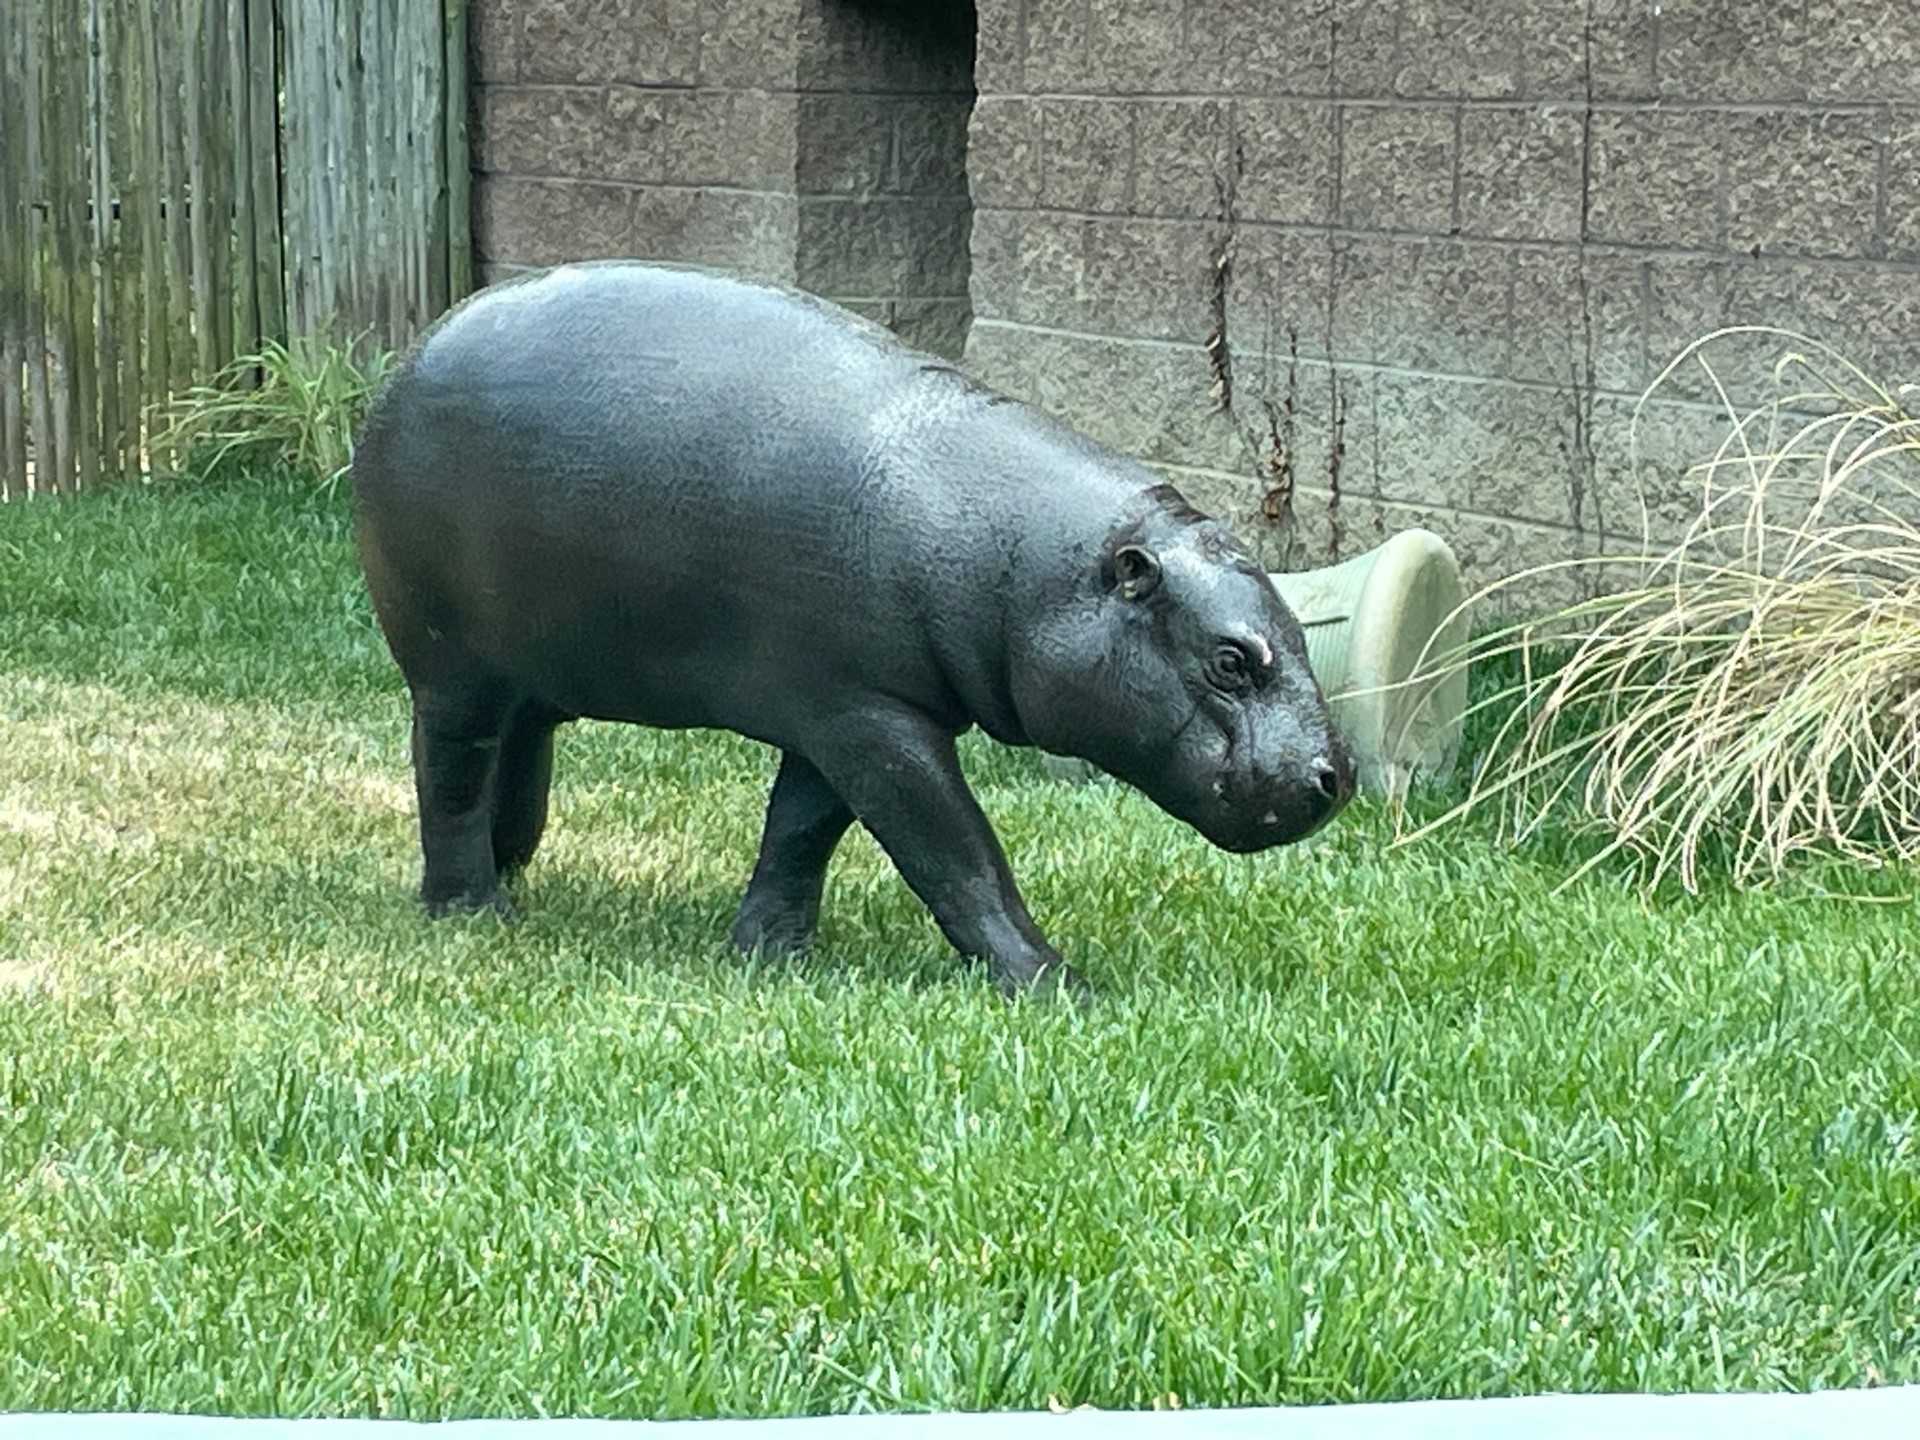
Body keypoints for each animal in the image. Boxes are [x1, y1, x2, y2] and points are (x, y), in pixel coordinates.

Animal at [357, 259, 1351, 998]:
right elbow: (955, 849)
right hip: (449, 666)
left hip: (534, 666)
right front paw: (1057, 984)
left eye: (1301, 633)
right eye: (1231, 660)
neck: (1029, 564)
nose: (1332, 777)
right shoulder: (871, 717)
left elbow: (802, 832)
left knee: (519, 752)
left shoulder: (843, 710)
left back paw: (516, 869)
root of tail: (411, 356)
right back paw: (475, 912)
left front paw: (771, 955)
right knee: (451, 772)